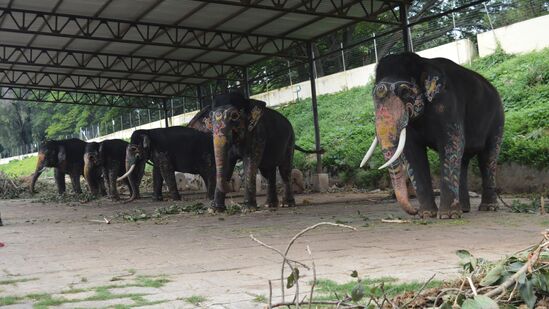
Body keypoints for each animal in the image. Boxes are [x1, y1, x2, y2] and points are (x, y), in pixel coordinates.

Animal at [188, 91, 318, 212]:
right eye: (210, 120)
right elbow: (228, 163)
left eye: (234, 116)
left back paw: (287, 204)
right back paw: (270, 204)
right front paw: (215, 209)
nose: (230, 188)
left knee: (284, 170)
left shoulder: (258, 134)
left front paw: (248, 209)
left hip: (290, 141)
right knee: (269, 173)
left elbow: (250, 162)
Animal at [360, 51, 506, 218]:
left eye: (404, 92)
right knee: (463, 160)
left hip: (497, 120)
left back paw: (488, 208)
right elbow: (413, 153)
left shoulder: (447, 104)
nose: (414, 211)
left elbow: (452, 143)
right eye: (372, 96)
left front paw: (447, 216)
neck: (423, 63)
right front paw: (427, 214)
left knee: (488, 157)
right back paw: (463, 209)